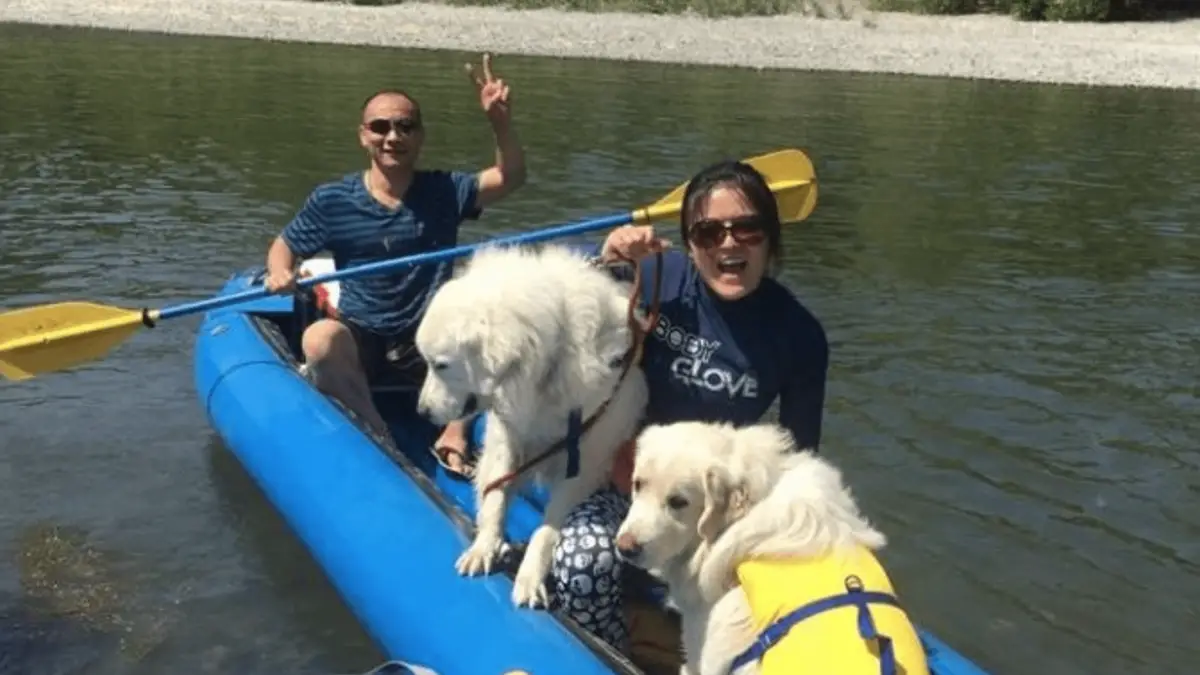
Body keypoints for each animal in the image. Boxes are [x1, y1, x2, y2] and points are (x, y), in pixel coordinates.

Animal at [417, 243, 652, 607]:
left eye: (440, 365)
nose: (422, 411)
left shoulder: (583, 462)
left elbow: (547, 529)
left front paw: (530, 577)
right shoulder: (508, 434)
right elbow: (496, 496)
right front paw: (484, 547)